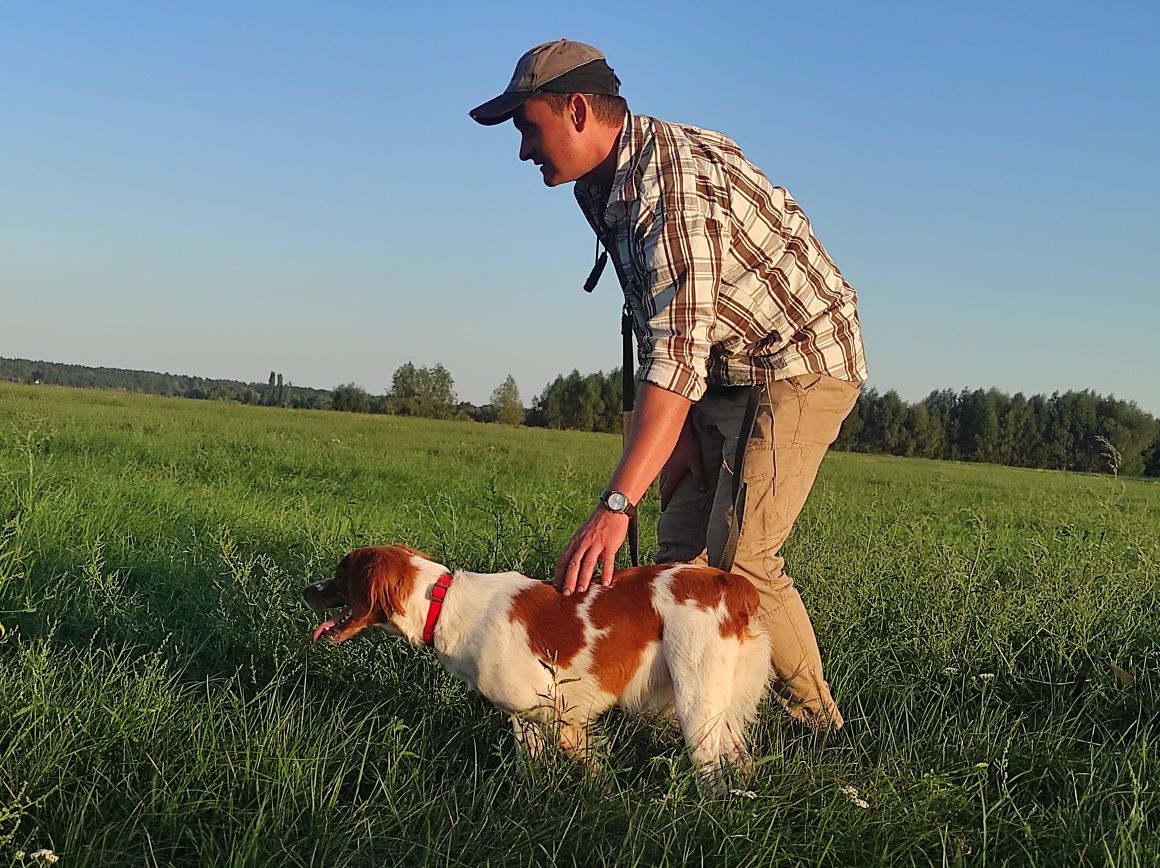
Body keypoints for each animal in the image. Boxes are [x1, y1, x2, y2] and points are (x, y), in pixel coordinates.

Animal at [303, 545, 770, 784]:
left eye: (341, 573)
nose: (306, 589)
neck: (444, 603)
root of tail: (731, 582)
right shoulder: (542, 718)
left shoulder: (548, 714)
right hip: (719, 708)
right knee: (740, 764)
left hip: (696, 707)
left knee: (711, 772)